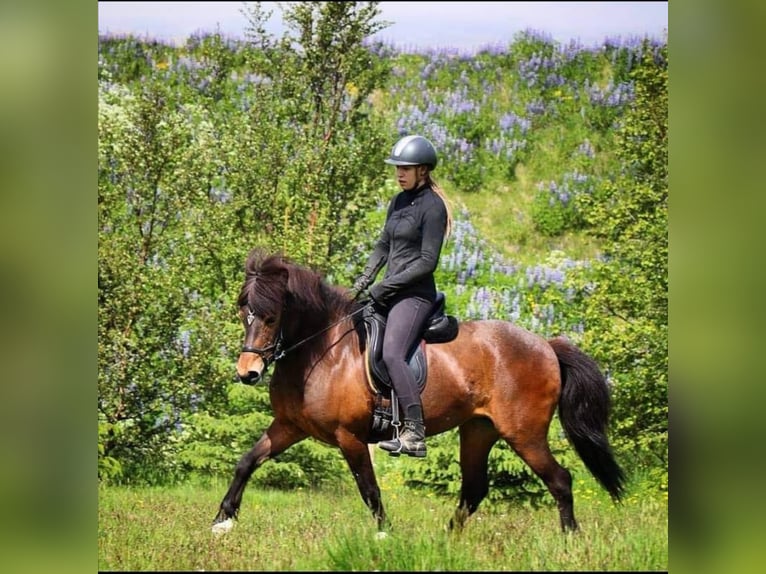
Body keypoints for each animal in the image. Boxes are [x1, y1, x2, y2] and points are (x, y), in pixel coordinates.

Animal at [210, 250, 624, 536]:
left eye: (271, 317)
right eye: (244, 313)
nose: (248, 372)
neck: (321, 351)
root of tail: (546, 345)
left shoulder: (350, 437)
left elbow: (369, 489)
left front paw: (384, 534)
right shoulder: (289, 426)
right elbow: (247, 461)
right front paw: (222, 520)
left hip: (524, 433)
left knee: (560, 479)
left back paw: (570, 538)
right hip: (479, 430)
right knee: (474, 489)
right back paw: (447, 539)